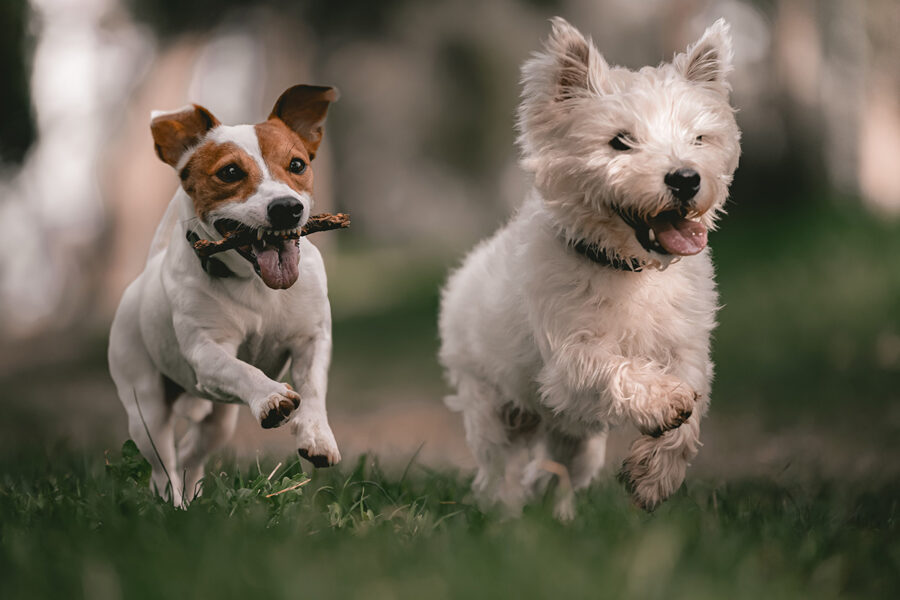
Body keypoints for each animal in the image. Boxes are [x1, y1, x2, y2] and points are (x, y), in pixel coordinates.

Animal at [110, 85, 342, 506]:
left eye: (297, 164)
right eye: (230, 172)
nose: (287, 208)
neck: (256, 284)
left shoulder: (312, 338)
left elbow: (314, 385)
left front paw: (317, 435)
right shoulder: (206, 351)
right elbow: (241, 369)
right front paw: (271, 397)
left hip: (219, 421)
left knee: (191, 453)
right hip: (145, 408)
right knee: (164, 466)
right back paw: (174, 505)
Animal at [440, 18, 740, 516]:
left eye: (698, 138)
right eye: (620, 141)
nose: (686, 178)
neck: (629, 268)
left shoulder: (687, 347)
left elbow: (691, 405)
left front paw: (653, 477)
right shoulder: (566, 360)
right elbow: (609, 367)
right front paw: (663, 401)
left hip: (572, 438)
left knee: (555, 474)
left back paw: (557, 518)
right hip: (490, 402)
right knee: (500, 468)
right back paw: (503, 515)